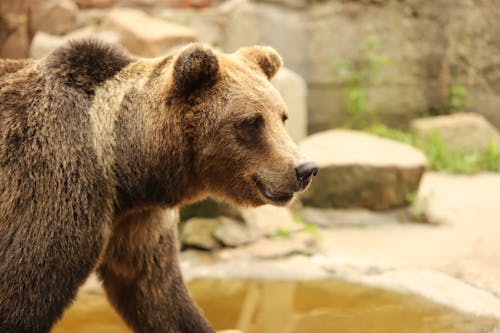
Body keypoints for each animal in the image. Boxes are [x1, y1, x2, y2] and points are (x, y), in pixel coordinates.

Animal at [0, 40, 318, 330]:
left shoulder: (139, 221)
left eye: (282, 116)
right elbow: (25, 288)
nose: (305, 169)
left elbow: (158, 295)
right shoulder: (52, 190)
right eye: (252, 121)